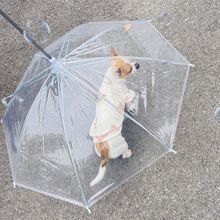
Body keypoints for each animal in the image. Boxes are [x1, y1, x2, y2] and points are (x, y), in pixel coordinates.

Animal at [89, 47, 139, 186]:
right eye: (130, 69)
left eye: (130, 60)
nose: (138, 64)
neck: (113, 81)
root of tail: (103, 151)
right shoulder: (126, 95)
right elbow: (129, 98)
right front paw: (130, 105)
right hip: (122, 144)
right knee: (124, 154)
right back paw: (129, 153)